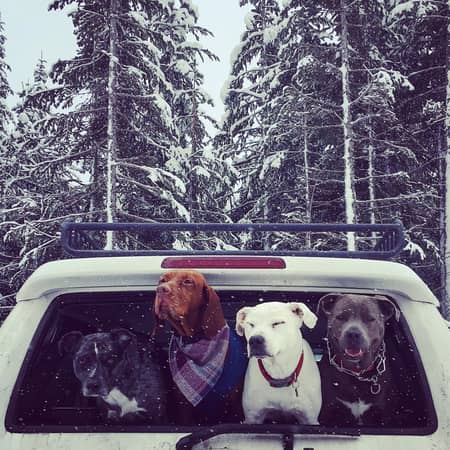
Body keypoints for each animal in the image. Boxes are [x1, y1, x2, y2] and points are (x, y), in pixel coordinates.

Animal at [153, 270, 248, 424]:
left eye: (188, 281)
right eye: (162, 280)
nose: (161, 289)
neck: (195, 340)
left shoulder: (235, 406)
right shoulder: (184, 407)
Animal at [318, 293, 401, 426]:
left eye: (370, 318)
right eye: (341, 317)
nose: (353, 333)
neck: (356, 373)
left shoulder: (385, 414)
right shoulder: (328, 411)